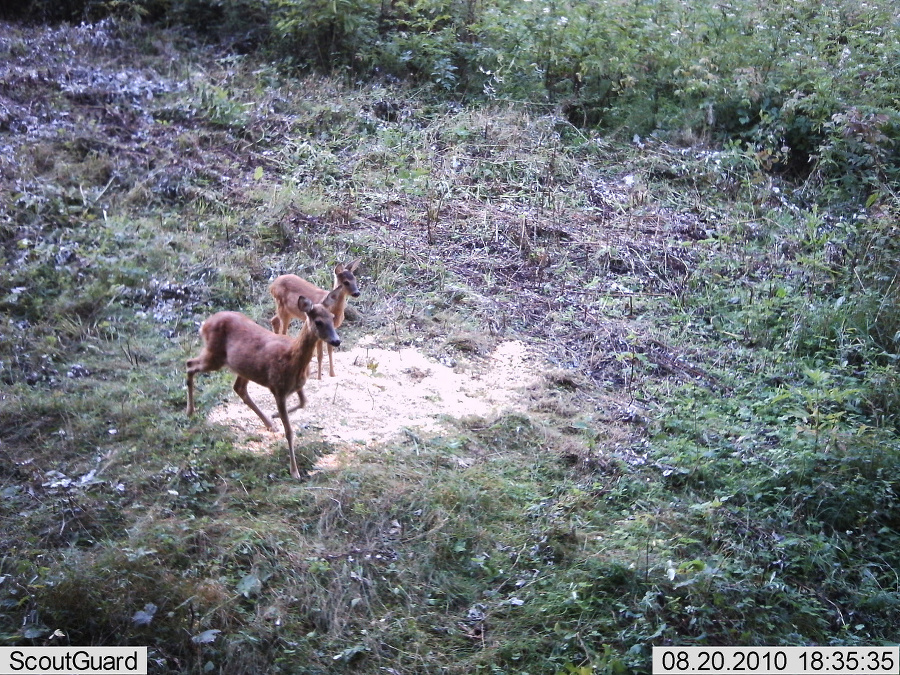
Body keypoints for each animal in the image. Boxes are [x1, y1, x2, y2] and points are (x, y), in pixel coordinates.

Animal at [186, 298, 342, 480]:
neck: (293, 359)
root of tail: (205, 324)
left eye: (332, 317)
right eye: (318, 322)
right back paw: (190, 411)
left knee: (238, 388)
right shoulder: (278, 388)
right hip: (214, 356)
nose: (337, 341)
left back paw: (269, 423)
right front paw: (294, 471)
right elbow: (289, 431)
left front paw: (274, 415)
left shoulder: (298, 385)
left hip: (243, 368)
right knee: (189, 364)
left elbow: (304, 402)